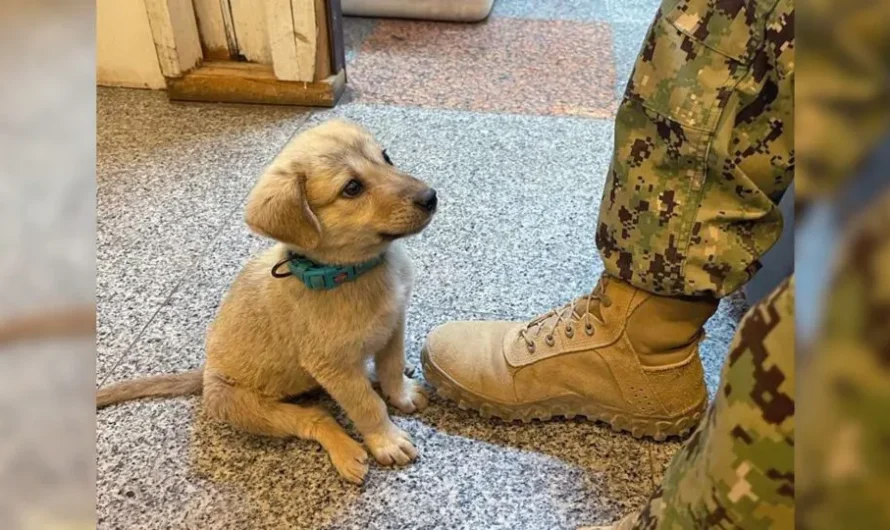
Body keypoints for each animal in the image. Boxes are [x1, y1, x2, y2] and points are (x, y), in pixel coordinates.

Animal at [97, 119, 438, 482]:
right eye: (352, 188)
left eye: (386, 157)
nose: (431, 197)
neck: (353, 273)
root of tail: (205, 373)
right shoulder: (333, 366)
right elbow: (366, 405)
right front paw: (386, 440)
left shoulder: (394, 324)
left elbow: (390, 367)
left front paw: (400, 393)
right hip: (247, 407)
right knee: (316, 417)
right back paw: (345, 451)